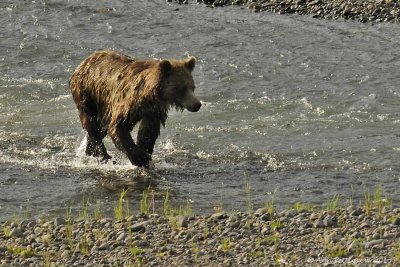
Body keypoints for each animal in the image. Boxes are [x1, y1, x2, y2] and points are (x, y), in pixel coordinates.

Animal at [70, 50, 202, 168]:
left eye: (192, 86)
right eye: (181, 88)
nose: (197, 104)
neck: (150, 95)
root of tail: (84, 62)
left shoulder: (153, 111)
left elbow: (148, 131)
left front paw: (145, 152)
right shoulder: (128, 104)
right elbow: (118, 127)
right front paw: (140, 157)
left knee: (99, 127)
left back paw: (91, 151)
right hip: (88, 94)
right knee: (91, 123)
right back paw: (102, 155)